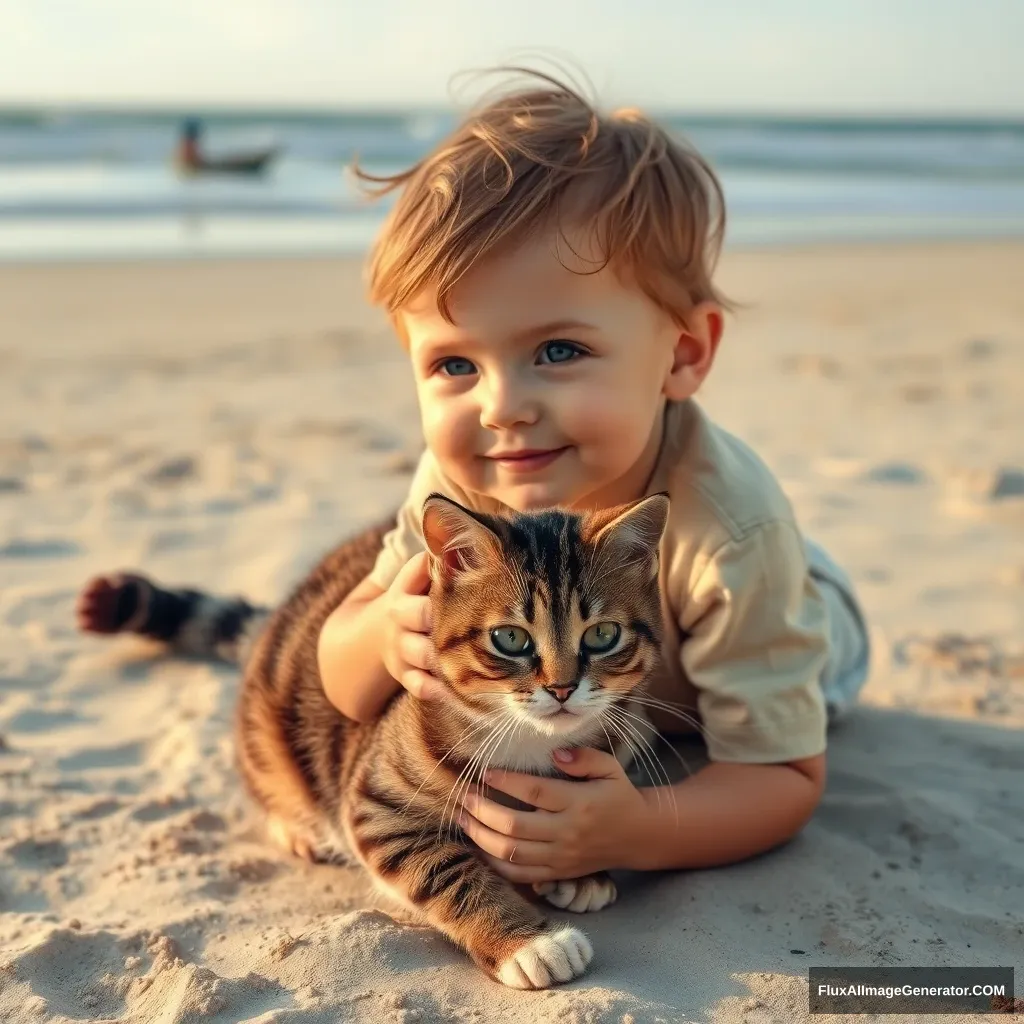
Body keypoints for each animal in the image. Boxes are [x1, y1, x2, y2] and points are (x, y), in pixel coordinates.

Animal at [81, 491, 671, 987]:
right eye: (509, 639)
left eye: (603, 635)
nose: (562, 688)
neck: (527, 739)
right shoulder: (376, 804)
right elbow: (449, 874)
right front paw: (530, 943)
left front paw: (583, 866)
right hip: (271, 734)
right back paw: (296, 827)